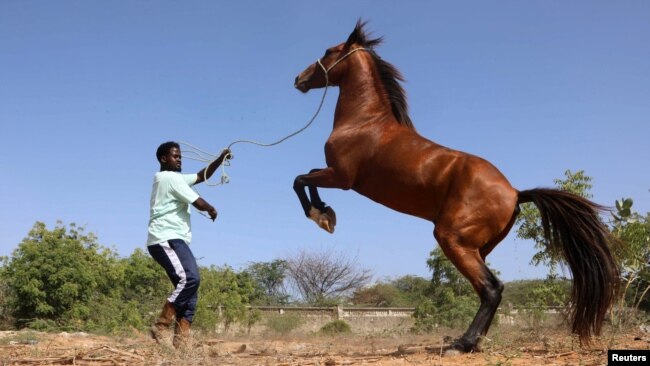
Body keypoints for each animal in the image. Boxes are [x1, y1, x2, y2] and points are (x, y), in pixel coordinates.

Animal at [292, 21, 616, 354]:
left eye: (328, 51)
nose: (298, 79)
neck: (365, 121)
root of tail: (514, 193)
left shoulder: (341, 178)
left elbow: (300, 179)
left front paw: (321, 217)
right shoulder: (334, 175)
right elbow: (307, 175)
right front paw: (326, 213)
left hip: (452, 239)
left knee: (491, 289)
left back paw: (462, 343)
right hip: (477, 247)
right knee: (492, 288)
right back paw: (473, 342)